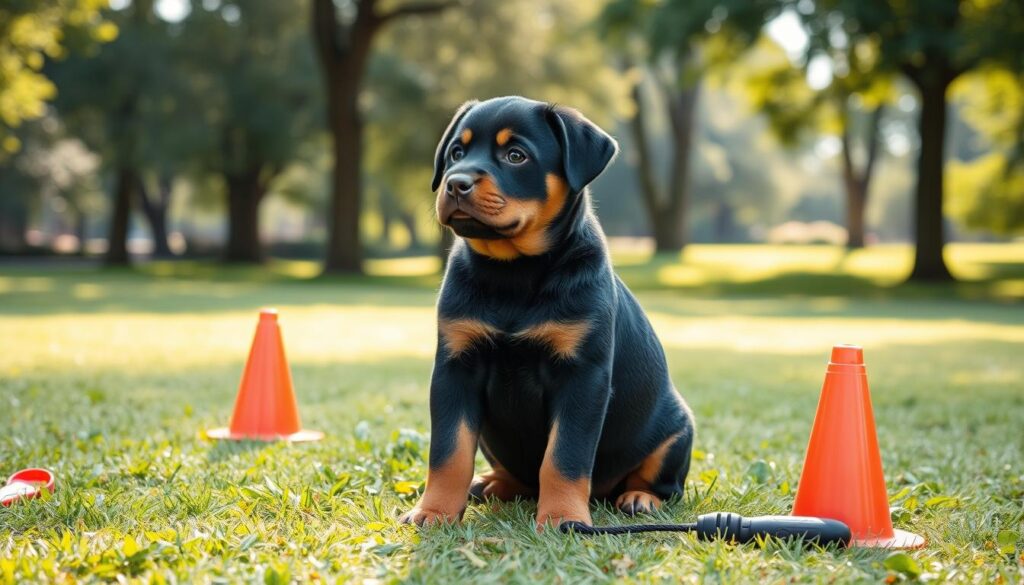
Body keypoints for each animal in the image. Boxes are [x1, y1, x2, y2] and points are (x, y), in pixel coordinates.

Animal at [399, 97, 696, 532]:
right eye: (456, 153)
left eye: (516, 155)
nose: (455, 183)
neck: (513, 275)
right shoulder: (455, 367)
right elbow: (449, 453)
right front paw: (434, 512)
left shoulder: (582, 377)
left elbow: (564, 457)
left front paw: (562, 519)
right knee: (516, 476)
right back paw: (491, 483)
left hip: (675, 429)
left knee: (663, 483)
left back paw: (640, 497)